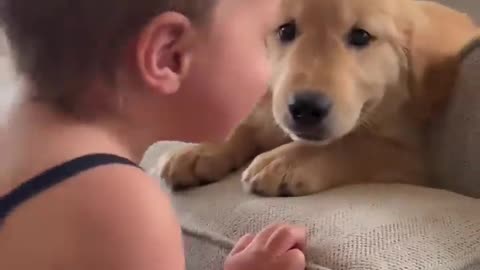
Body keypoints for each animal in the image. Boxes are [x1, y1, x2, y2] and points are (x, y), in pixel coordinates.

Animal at [160, 0, 476, 198]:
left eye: (361, 36)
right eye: (285, 30)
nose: (306, 108)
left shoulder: (415, 156)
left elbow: (352, 143)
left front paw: (287, 161)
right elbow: (248, 122)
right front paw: (200, 150)